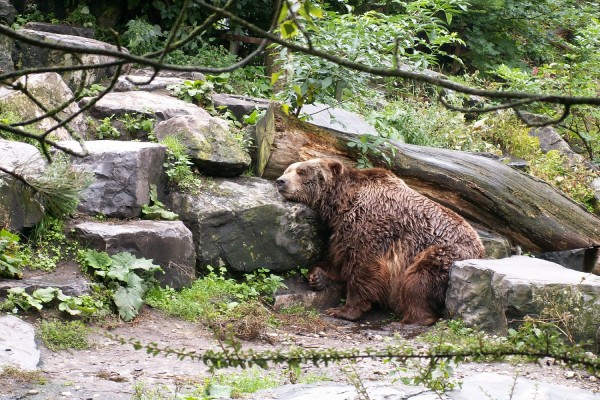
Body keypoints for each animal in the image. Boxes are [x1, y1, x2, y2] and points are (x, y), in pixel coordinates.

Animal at [276, 157, 482, 324]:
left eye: (302, 171)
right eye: (288, 169)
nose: (280, 181)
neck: (342, 203)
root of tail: (481, 251)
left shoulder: (371, 224)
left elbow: (364, 267)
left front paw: (342, 310)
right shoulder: (342, 229)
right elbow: (340, 258)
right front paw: (317, 276)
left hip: (442, 254)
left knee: (419, 281)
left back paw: (411, 318)